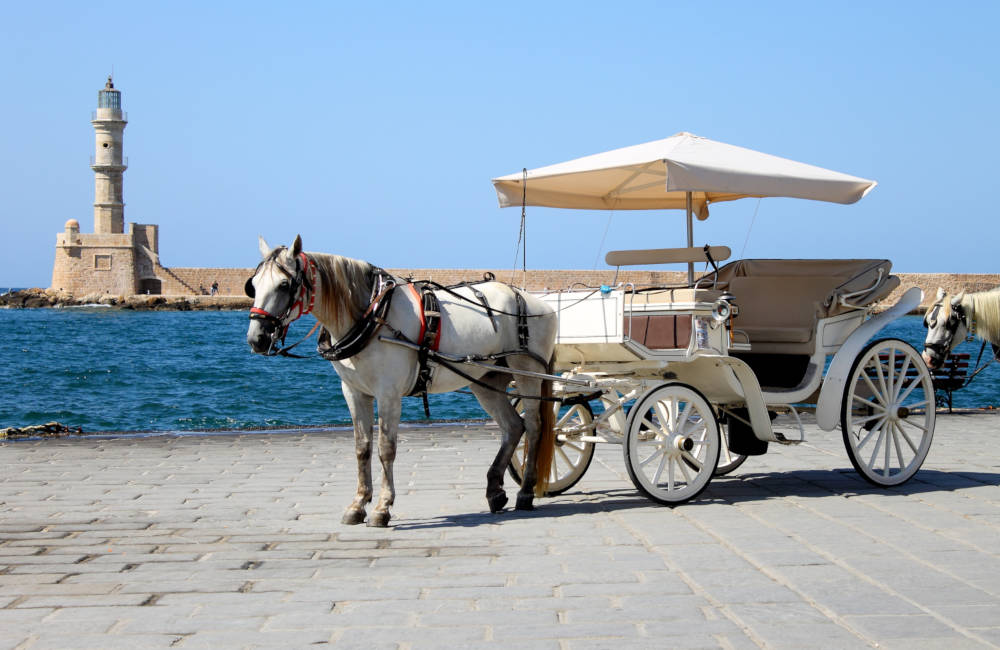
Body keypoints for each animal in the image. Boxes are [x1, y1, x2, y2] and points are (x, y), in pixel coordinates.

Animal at [242, 235, 556, 524]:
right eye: (253, 285)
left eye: (285, 285)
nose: (257, 339)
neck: (371, 315)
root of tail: (536, 300)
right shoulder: (353, 391)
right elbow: (362, 447)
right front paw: (358, 504)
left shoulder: (388, 394)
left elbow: (386, 449)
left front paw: (382, 507)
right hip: (486, 379)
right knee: (513, 427)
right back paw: (495, 491)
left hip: (526, 372)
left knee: (534, 426)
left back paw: (525, 492)